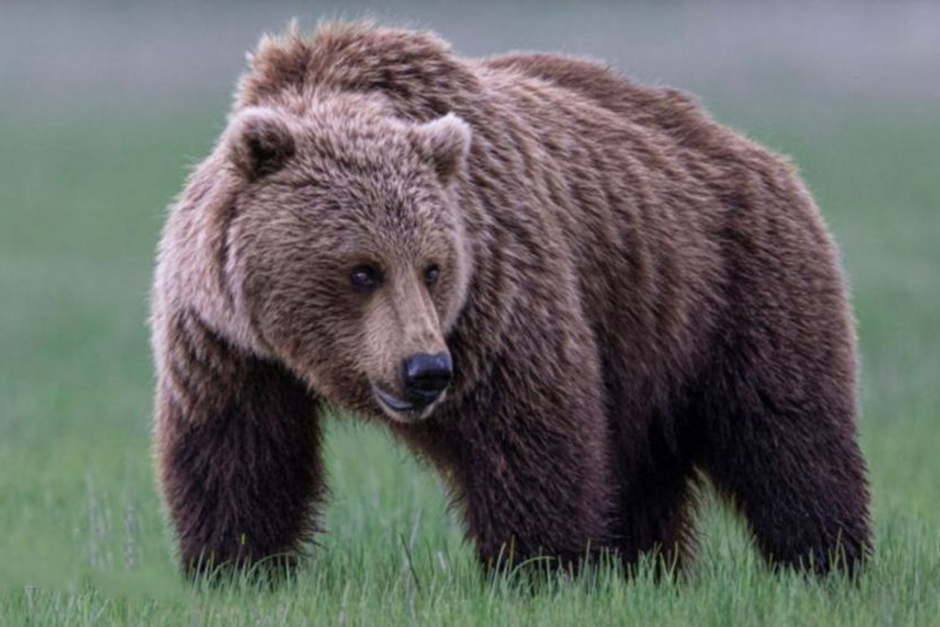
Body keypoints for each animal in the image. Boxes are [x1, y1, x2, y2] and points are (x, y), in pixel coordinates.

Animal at [150, 21, 871, 577]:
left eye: (433, 268)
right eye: (362, 270)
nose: (425, 369)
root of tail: (759, 154)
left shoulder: (497, 293)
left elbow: (531, 431)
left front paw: (541, 564)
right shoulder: (225, 339)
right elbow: (238, 454)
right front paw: (235, 563)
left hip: (736, 285)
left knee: (785, 432)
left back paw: (825, 558)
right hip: (646, 339)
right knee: (646, 466)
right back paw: (646, 564)